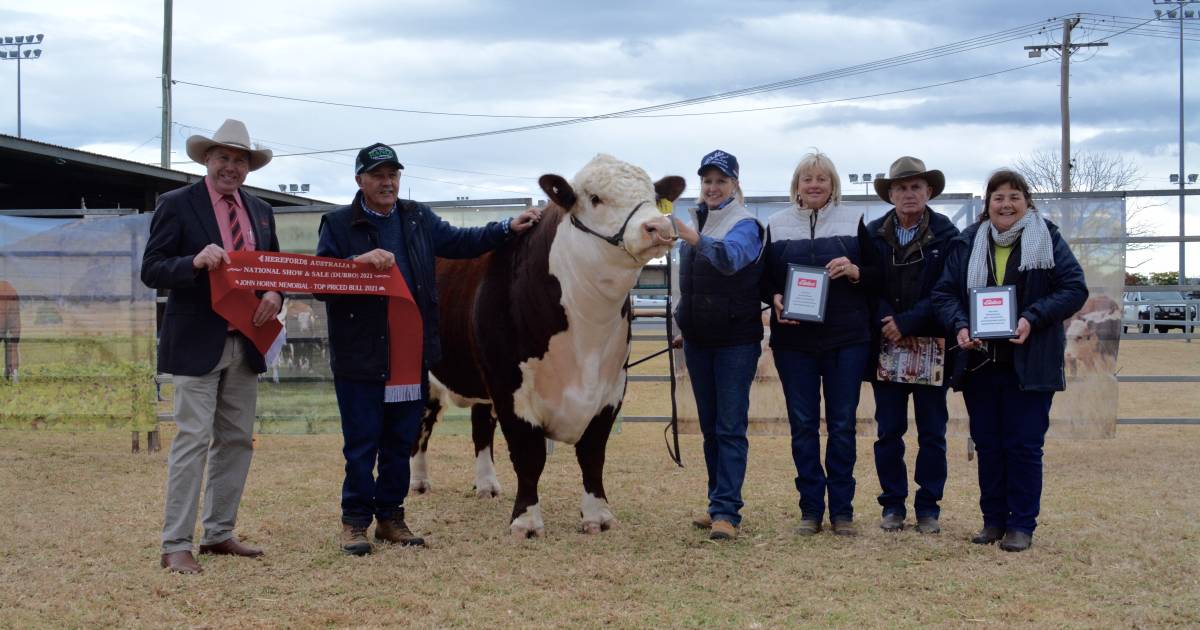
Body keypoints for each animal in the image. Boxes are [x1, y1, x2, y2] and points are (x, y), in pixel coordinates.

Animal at [410, 154, 686, 537]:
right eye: (595, 198)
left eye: (654, 196)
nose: (657, 226)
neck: (585, 335)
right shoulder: (510, 386)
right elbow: (529, 455)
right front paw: (526, 521)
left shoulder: (612, 387)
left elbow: (592, 453)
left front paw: (597, 516)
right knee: (421, 426)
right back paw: (418, 482)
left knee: (480, 426)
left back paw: (486, 485)